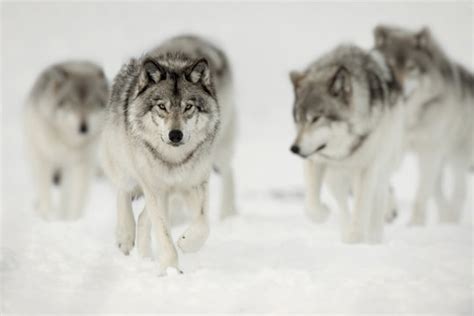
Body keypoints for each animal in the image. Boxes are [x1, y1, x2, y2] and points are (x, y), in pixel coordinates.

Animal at [24, 61, 109, 220]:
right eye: (72, 103)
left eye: (92, 104)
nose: (83, 128)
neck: (67, 140)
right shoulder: (44, 159)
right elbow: (45, 192)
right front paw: (48, 218)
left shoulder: (79, 165)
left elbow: (75, 198)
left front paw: (71, 219)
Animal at [100, 35, 235, 274]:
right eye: (162, 107)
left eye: (188, 107)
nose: (175, 135)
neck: (175, 159)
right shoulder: (155, 190)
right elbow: (164, 236)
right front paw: (171, 270)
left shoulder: (196, 184)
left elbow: (203, 224)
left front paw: (186, 242)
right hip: (125, 165)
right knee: (123, 191)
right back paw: (125, 236)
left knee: (143, 218)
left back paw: (144, 257)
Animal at [288, 43, 404, 242]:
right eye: (298, 119)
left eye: (316, 118)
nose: (294, 149)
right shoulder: (316, 160)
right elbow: (311, 207)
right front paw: (324, 213)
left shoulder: (366, 168)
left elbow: (362, 205)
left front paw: (356, 238)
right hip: (335, 177)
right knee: (343, 205)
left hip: (381, 167)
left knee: (378, 199)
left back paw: (374, 237)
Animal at [374, 26, 474, 225]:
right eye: (389, 65)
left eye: (410, 68)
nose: (397, 87)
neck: (407, 119)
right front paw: (388, 210)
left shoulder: (429, 153)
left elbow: (420, 196)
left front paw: (415, 226)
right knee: (438, 193)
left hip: (456, 157)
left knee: (458, 191)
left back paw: (450, 221)